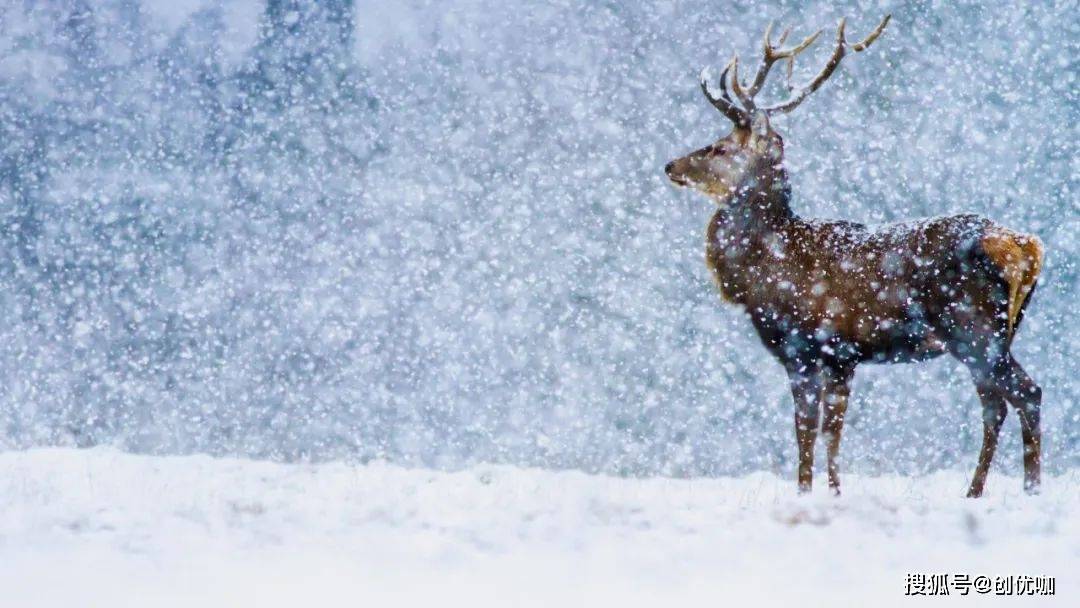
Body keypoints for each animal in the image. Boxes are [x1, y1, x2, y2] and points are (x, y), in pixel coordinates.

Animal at [660, 15, 1041, 498]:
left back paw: (1018, 491)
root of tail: (1024, 247)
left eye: (721, 147)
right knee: (998, 403)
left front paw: (807, 493)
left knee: (1024, 394)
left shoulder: (806, 347)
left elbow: (807, 430)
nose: (672, 165)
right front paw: (834, 492)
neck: (764, 270)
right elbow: (832, 431)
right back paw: (985, 491)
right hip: (997, 334)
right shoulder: (843, 359)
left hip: (974, 331)